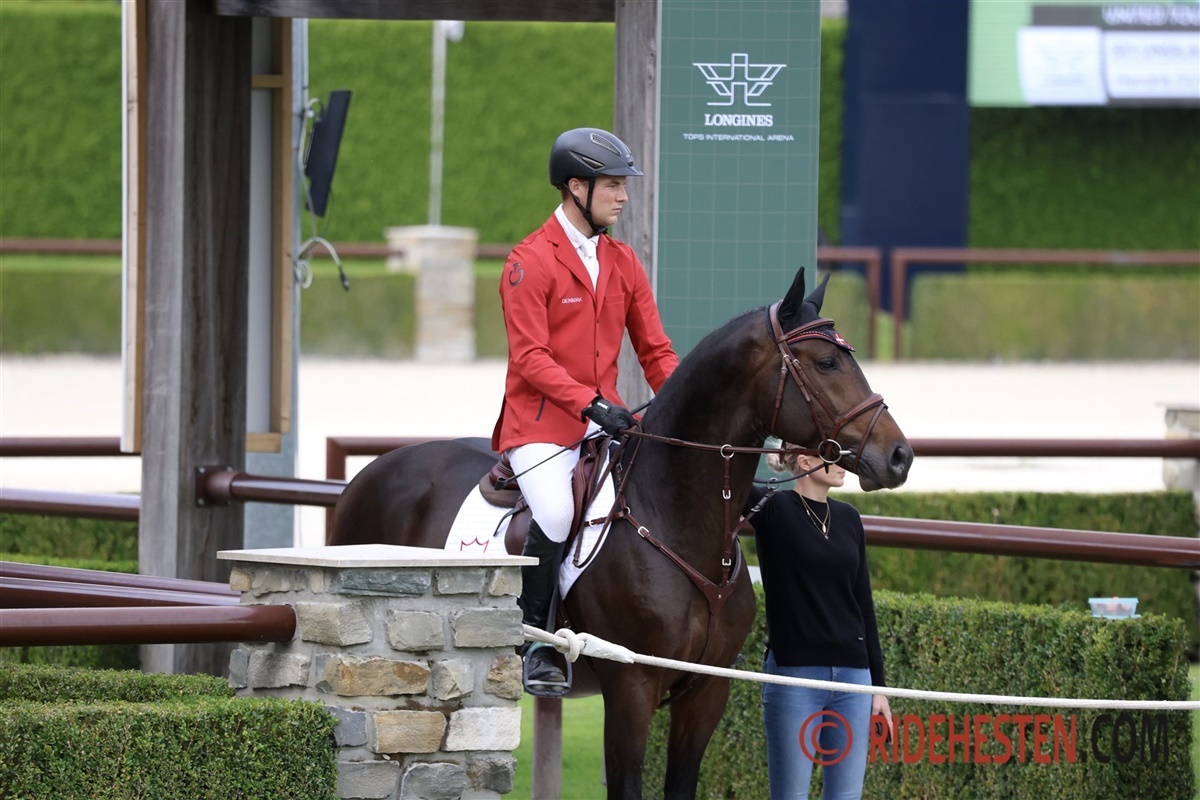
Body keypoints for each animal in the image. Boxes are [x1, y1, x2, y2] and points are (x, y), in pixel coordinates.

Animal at [331, 266, 913, 799]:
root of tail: (371, 472)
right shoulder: (631, 687)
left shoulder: (705, 694)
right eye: (827, 362)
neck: (675, 518)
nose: (899, 456)